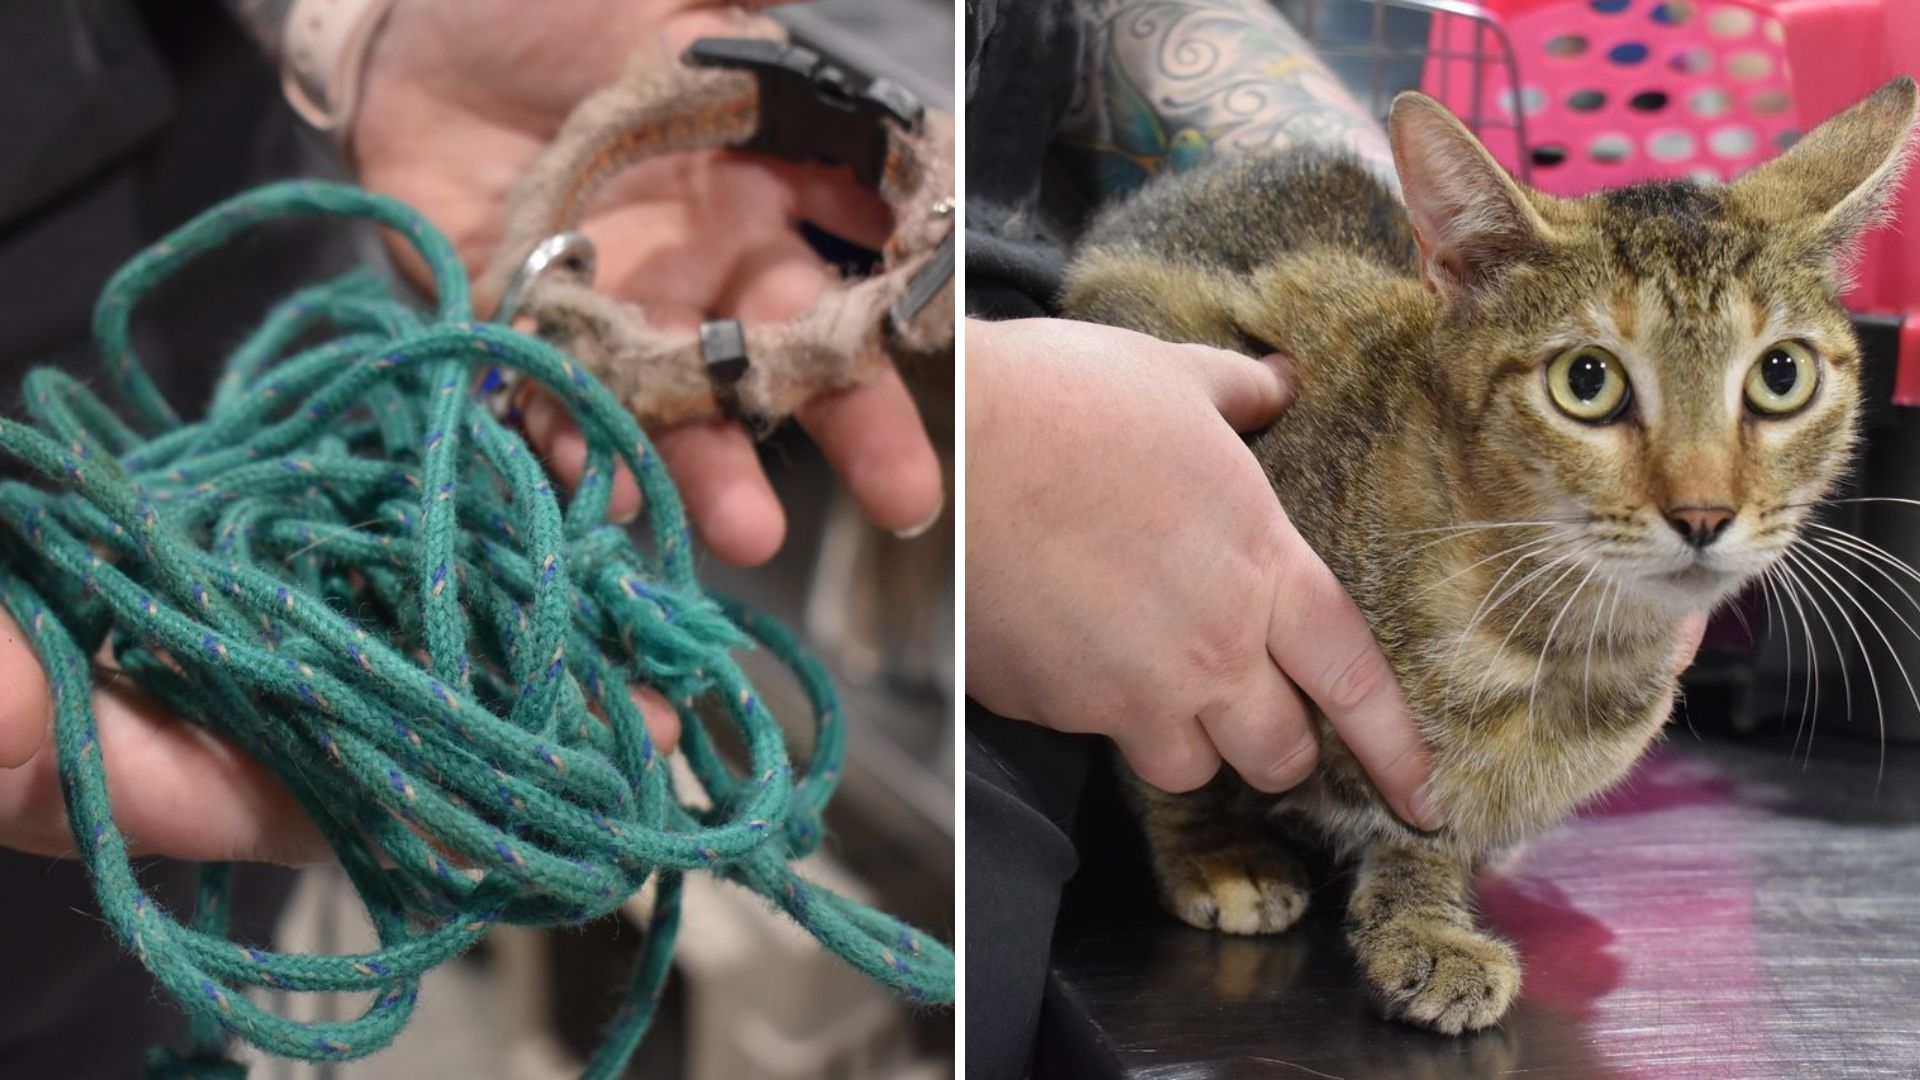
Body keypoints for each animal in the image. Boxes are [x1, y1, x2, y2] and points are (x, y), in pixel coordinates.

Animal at [1059, 79, 1912, 1030]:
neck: (1549, 646)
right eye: (1588, 381)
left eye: (1781, 375)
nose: (1703, 511)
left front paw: (1422, 918)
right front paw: (1213, 851)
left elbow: (1428, 832)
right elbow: (1166, 746)